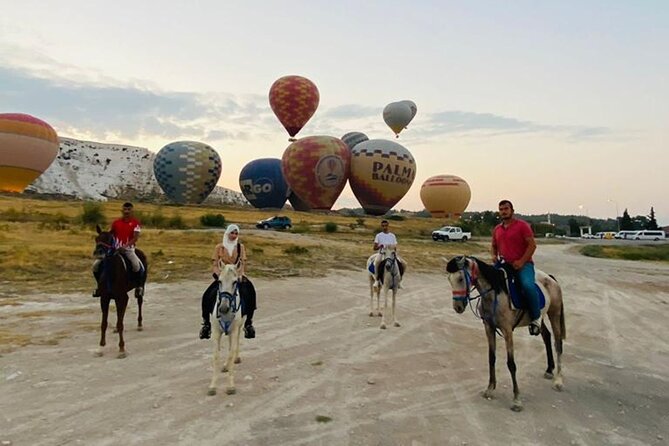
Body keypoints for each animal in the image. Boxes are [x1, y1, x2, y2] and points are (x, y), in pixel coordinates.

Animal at [92, 225, 147, 358]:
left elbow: (121, 323)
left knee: (139, 302)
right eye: (96, 239)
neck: (111, 272)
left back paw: (139, 324)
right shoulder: (104, 298)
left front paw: (122, 348)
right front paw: (100, 348)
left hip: (140, 287)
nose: (98, 253)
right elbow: (104, 323)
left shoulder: (121, 297)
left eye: (109, 239)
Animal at [207, 264, 247, 396]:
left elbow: (230, 354)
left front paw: (230, 386)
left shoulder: (234, 331)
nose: (223, 308)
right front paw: (212, 386)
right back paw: (225, 366)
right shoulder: (216, 332)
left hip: (239, 327)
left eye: (235, 282)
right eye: (219, 281)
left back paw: (235, 359)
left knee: (235, 345)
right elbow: (216, 356)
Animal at [444, 254, 564, 412]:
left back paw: (558, 381)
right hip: (540, 317)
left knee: (558, 343)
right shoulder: (489, 328)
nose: (457, 307)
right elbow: (491, 358)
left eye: (460, 279)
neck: (495, 292)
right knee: (546, 336)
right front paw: (490, 389)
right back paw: (549, 370)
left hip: (554, 314)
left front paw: (516, 400)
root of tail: (550, 279)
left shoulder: (507, 330)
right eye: (449, 279)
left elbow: (511, 364)